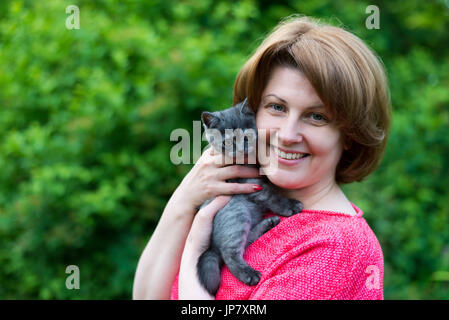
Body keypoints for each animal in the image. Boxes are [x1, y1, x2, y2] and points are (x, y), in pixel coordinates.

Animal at [196, 98, 300, 296]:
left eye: (246, 137)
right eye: (228, 142)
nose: (240, 149)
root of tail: (212, 245)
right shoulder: (250, 183)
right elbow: (271, 195)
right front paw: (289, 205)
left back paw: (268, 223)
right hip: (237, 212)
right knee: (229, 253)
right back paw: (249, 275)